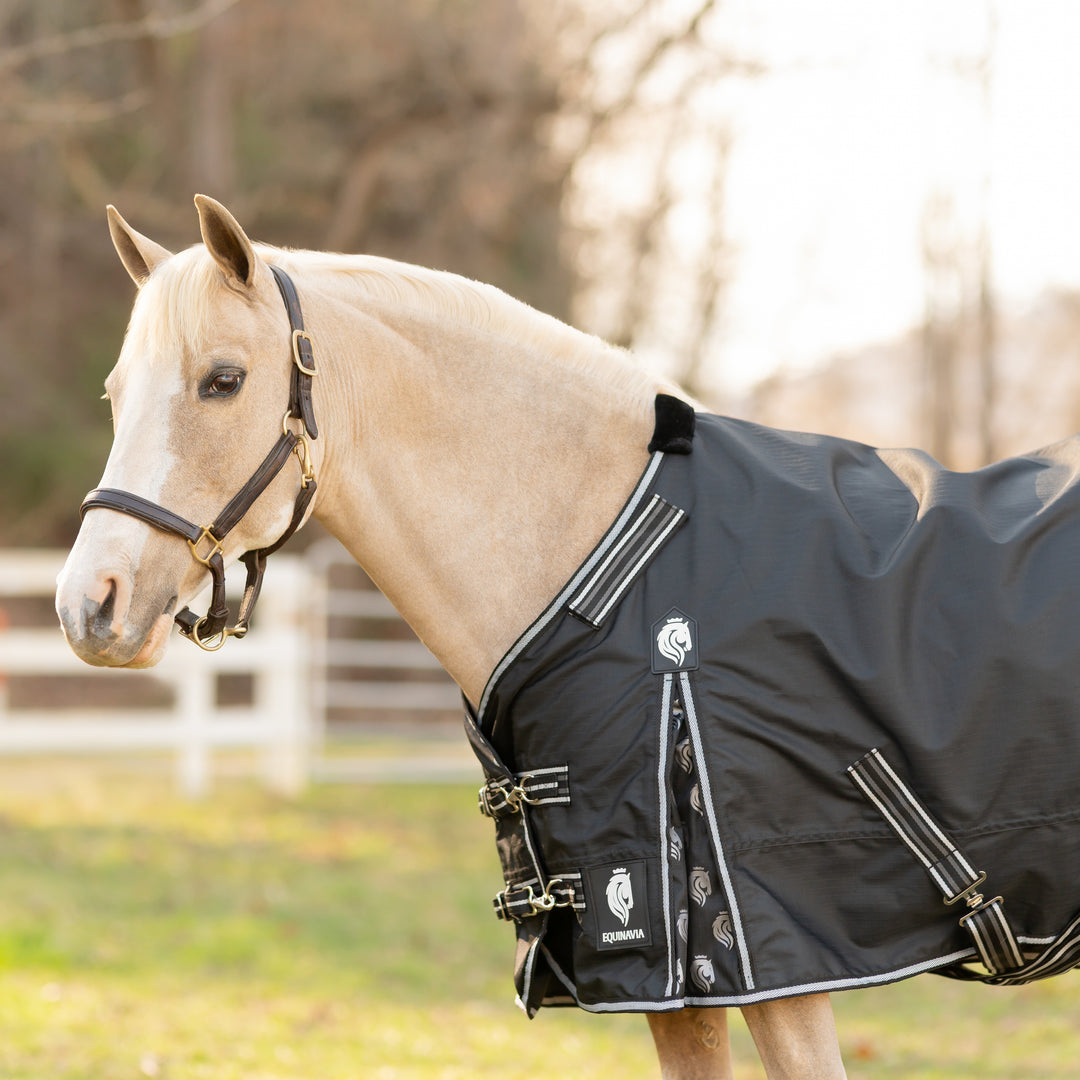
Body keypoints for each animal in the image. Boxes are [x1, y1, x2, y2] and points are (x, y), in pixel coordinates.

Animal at [58, 196, 1080, 1077]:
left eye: (223, 381)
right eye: (113, 392)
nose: (89, 605)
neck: (629, 566)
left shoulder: (777, 963)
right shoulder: (672, 988)